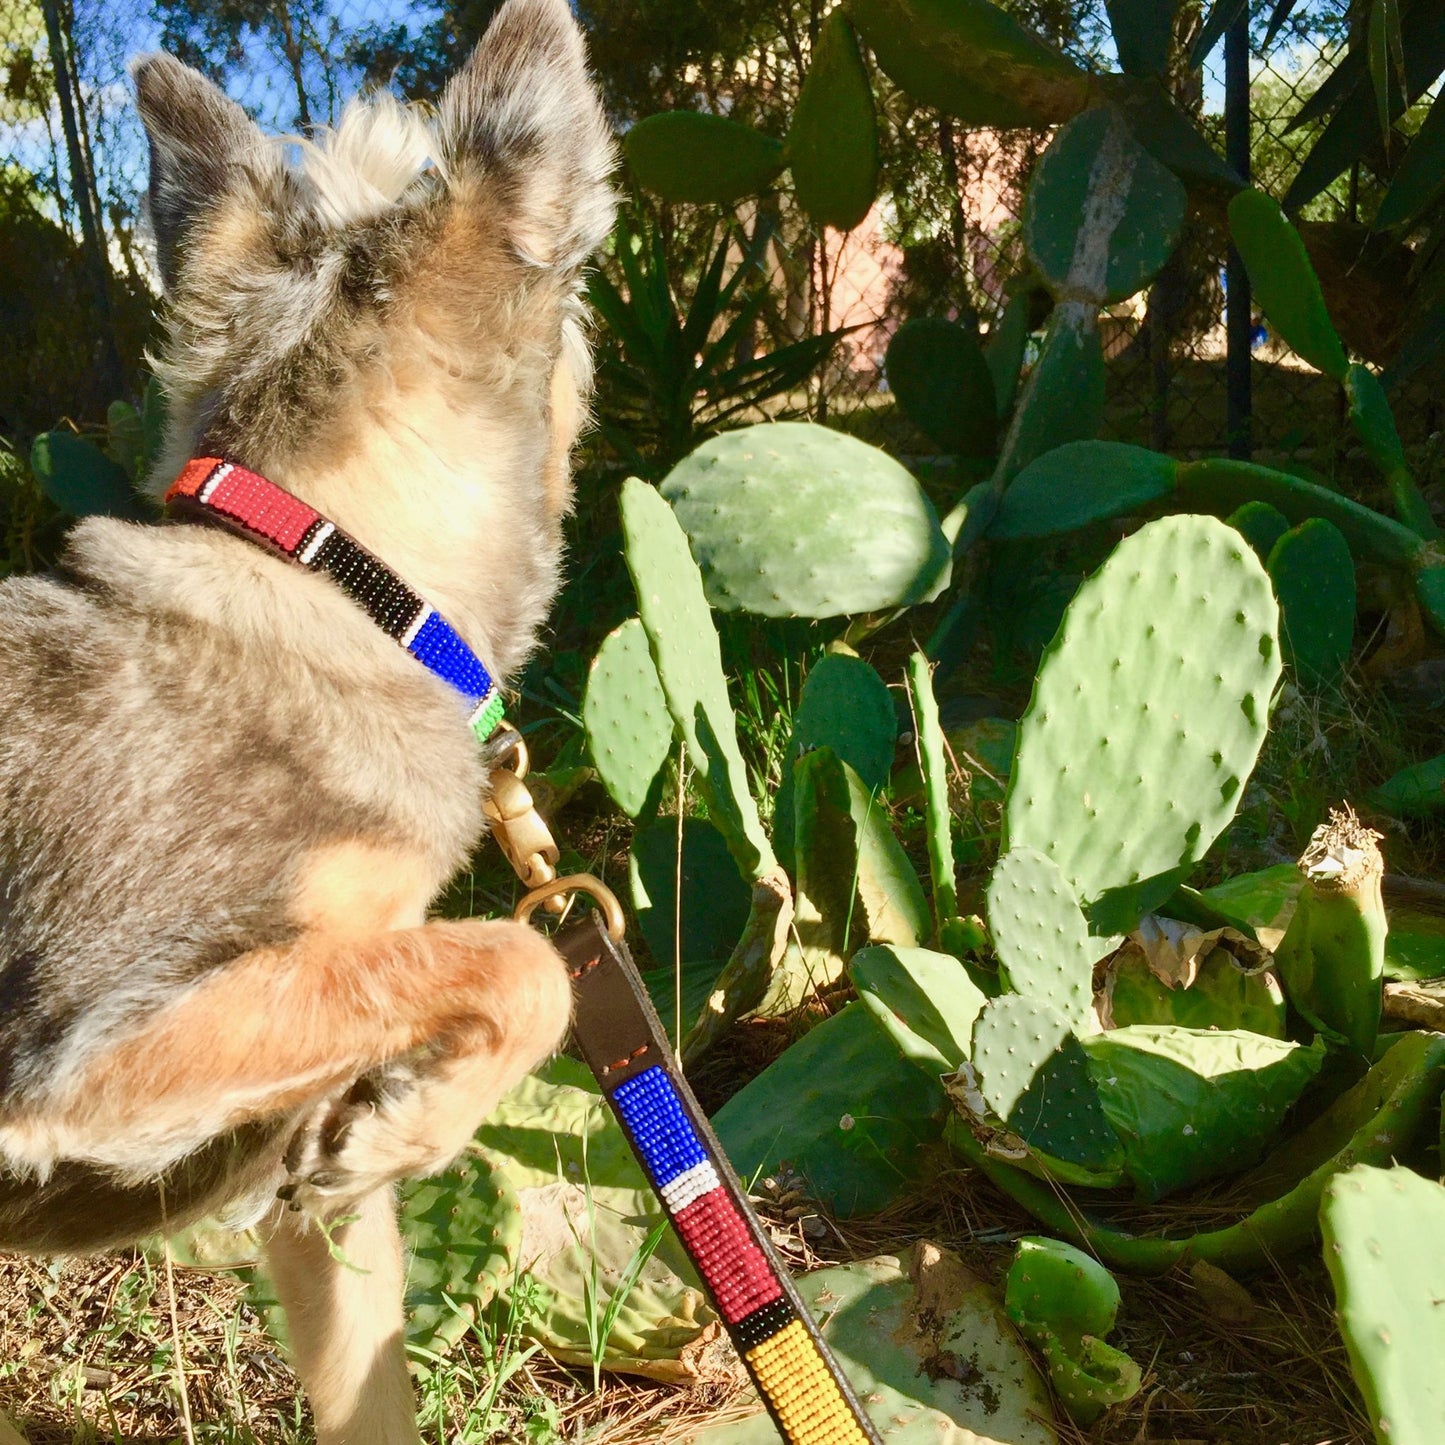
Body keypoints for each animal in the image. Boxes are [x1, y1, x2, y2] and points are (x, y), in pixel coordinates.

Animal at [0, 5, 615, 1439]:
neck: (334, 584)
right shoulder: (94, 1056)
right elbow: (524, 957)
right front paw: (421, 1122)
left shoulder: (302, 1183)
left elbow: (368, 1365)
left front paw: (398, 1126)